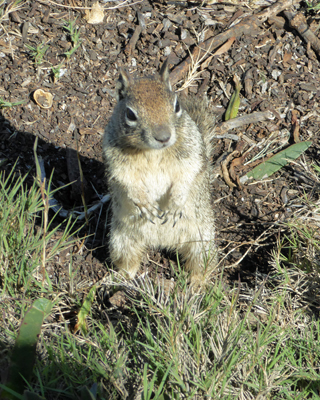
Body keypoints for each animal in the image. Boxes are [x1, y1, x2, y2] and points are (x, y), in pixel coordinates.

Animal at [104, 59, 216, 286]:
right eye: (130, 114)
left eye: (177, 105)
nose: (163, 137)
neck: (152, 152)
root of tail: (163, 242)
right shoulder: (116, 161)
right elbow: (126, 179)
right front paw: (144, 204)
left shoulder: (191, 154)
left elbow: (187, 174)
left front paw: (175, 204)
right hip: (122, 240)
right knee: (129, 261)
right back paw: (120, 278)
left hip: (202, 240)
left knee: (201, 263)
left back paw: (196, 284)